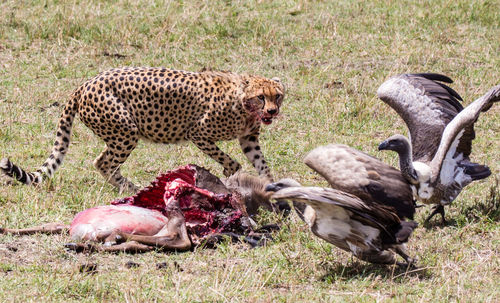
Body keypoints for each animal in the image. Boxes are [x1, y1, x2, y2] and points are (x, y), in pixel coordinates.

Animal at [0, 68, 284, 194]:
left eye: (278, 96)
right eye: (261, 97)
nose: (271, 111)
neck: (244, 104)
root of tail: (85, 84)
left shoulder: (249, 139)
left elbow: (262, 163)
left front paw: (271, 185)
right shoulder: (198, 133)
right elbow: (230, 161)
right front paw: (230, 174)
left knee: (105, 162)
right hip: (126, 132)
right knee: (102, 162)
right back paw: (130, 188)